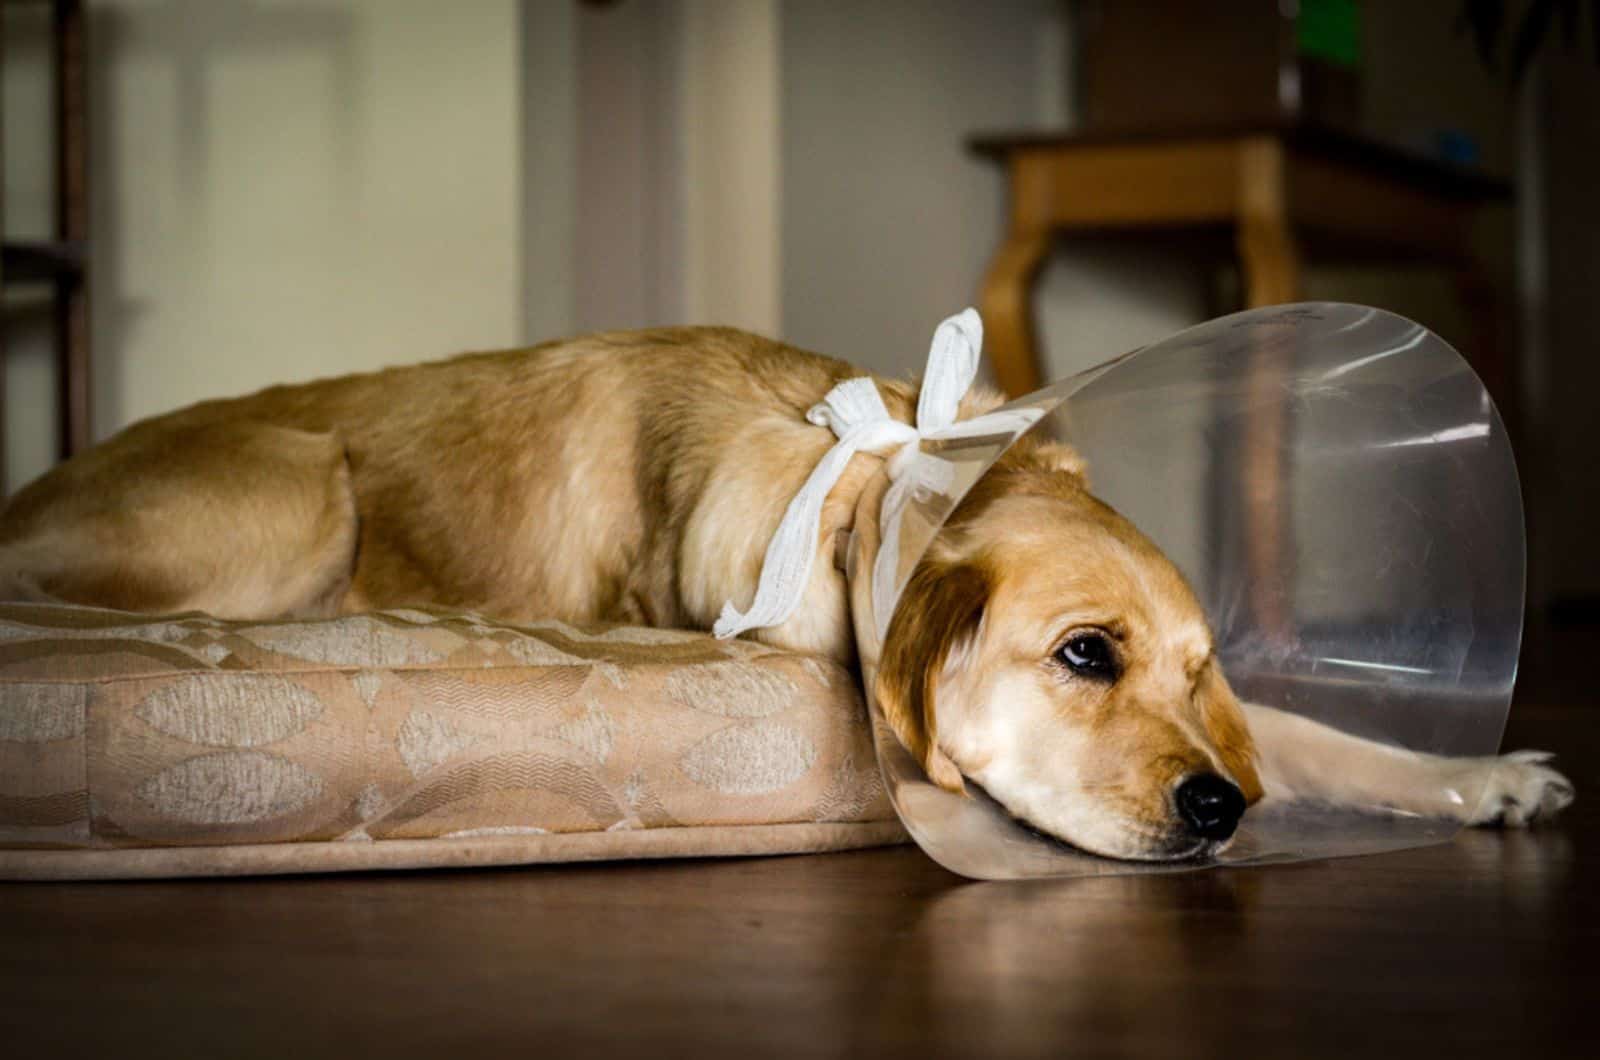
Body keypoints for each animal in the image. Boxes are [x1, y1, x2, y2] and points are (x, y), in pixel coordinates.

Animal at [0, 326, 1574, 864]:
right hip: (302, 486)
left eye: (1198, 669)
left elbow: (1313, 734)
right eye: (1083, 655)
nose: (1216, 812)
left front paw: (1476, 774)